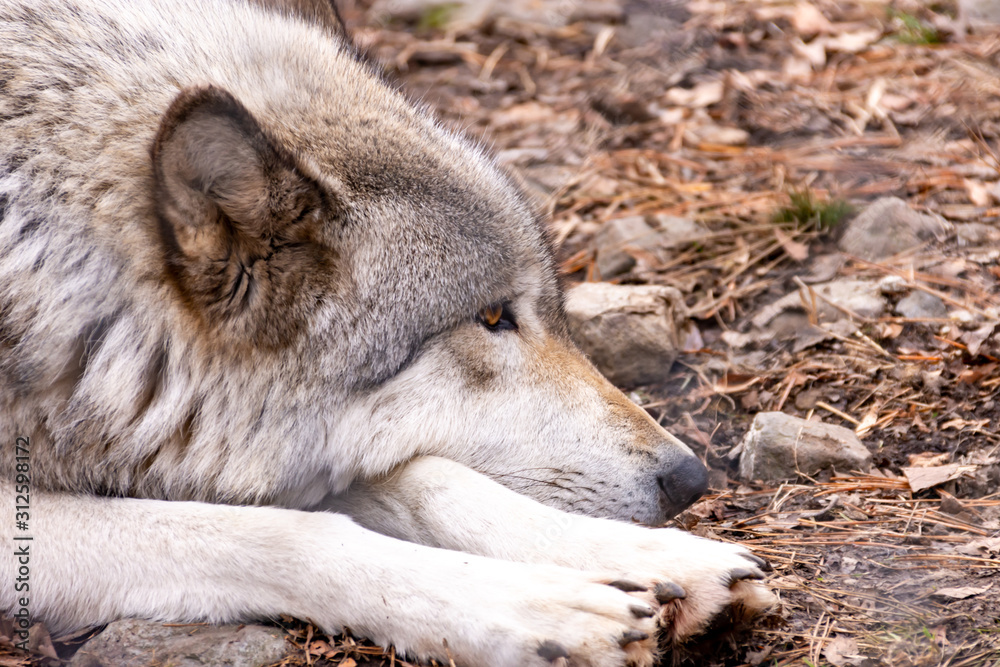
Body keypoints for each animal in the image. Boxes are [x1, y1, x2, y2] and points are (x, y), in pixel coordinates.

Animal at [0, 0, 775, 665]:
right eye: (491, 317)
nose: (690, 479)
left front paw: (655, 557)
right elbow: (284, 534)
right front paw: (535, 606)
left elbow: (434, 481)